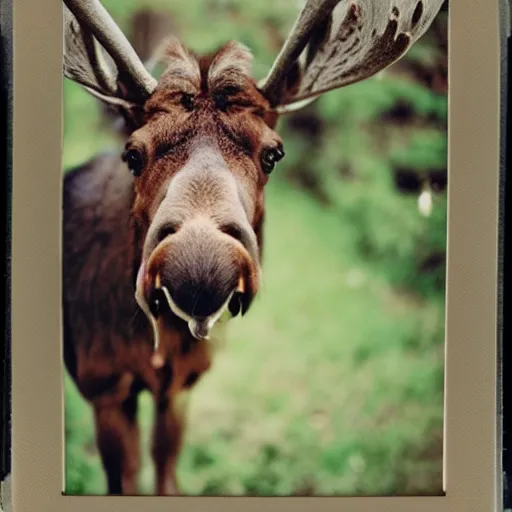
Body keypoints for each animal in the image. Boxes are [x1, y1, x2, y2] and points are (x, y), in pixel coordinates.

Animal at [61, 0, 444, 496]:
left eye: (273, 154)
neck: (157, 345)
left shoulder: (184, 382)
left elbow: (167, 473)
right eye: (133, 153)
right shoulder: (103, 382)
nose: (200, 266)